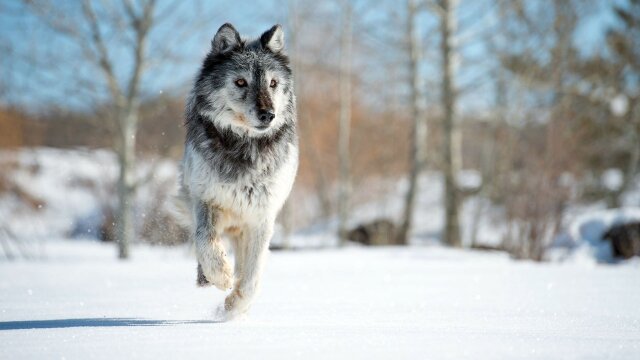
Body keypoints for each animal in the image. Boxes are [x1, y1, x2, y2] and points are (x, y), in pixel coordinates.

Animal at [178, 23, 298, 316]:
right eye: (241, 82)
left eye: (273, 83)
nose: (268, 115)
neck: (244, 147)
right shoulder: (205, 200)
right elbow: (204, 238)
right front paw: (220, 275)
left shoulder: (262, 217)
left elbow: (253, 275)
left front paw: (233, 307)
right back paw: (207, 276)